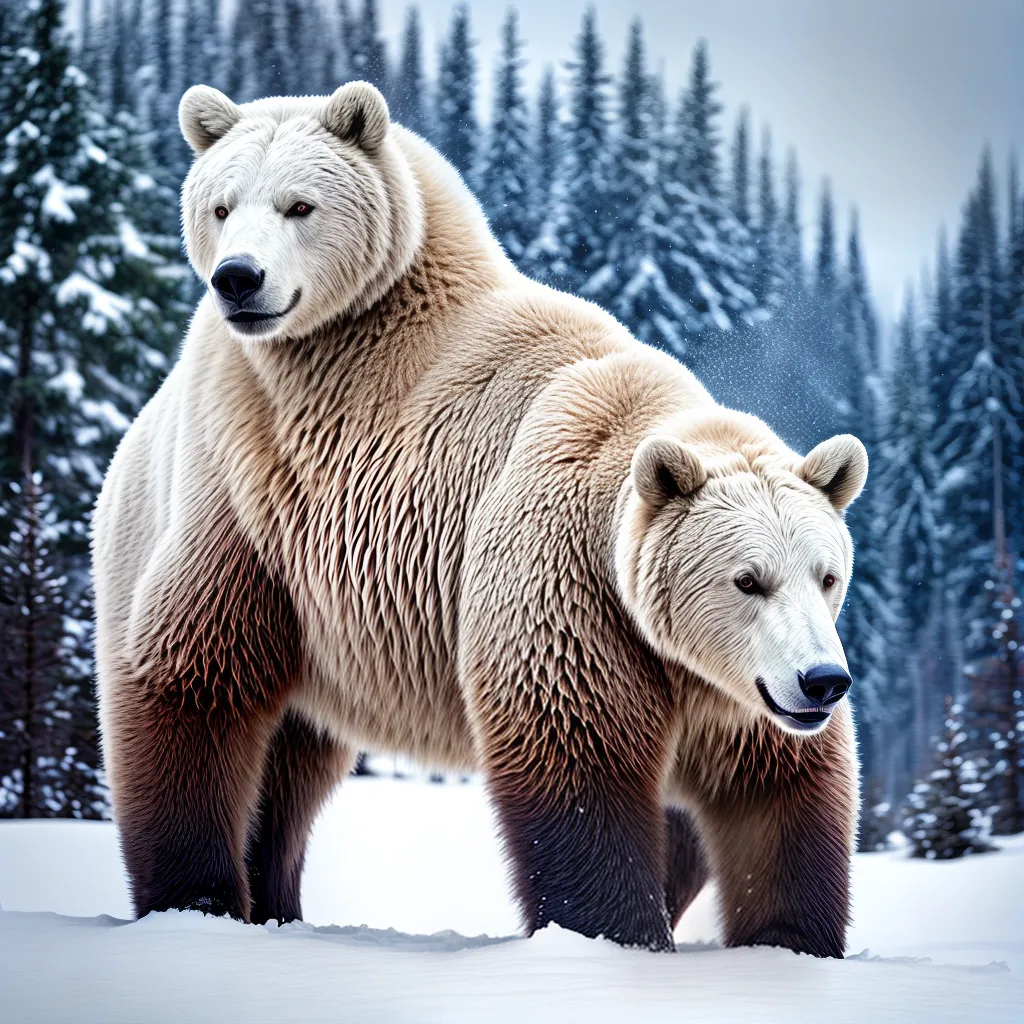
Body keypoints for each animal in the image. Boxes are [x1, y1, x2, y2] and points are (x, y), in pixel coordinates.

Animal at [92, 80, 868, 957]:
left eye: (826, 574)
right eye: (747, 579)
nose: (822, 679)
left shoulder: (736, 693)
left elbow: (784, 799)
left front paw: (788, 942)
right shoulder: (567, 591)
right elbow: (579, 774)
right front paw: (619, 936)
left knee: (290, 762)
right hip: (236, 522)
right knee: (191, 688)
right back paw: (200, 899)